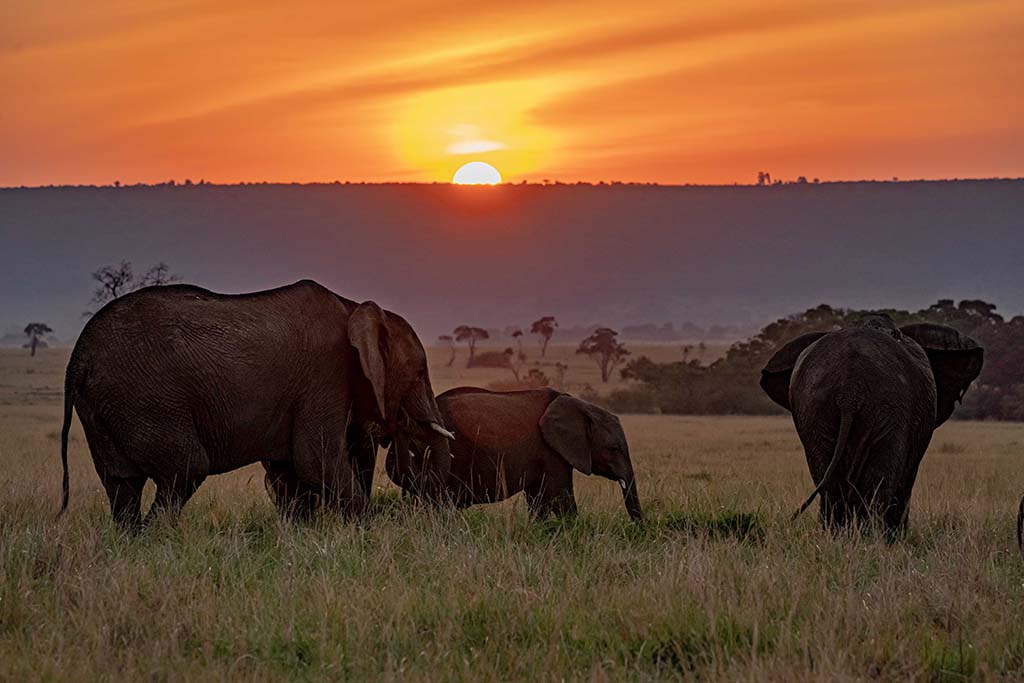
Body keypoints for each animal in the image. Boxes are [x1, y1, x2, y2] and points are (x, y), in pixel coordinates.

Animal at [58, 279, 454, 528]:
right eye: (420, 372)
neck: (355, 308)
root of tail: (77, 357)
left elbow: (289, 470)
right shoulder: (324, 376)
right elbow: (317, 461)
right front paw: (367, 531)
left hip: (105, 408)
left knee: (122, 484)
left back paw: (134, 542)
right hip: (146, 401)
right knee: (185, 470)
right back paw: (157, 540)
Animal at [385, 387, 643, 520]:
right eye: (613, 449)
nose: (639, 527)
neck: (579, 404)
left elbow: (538, 500)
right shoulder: (552, 451)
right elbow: (561, 499)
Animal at [760, 315, 983, 535]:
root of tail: (850, 389)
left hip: (815, 409)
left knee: (830, 486)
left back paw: (839, 536)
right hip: (889, 408)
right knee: (878, 486)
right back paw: (874, 538)